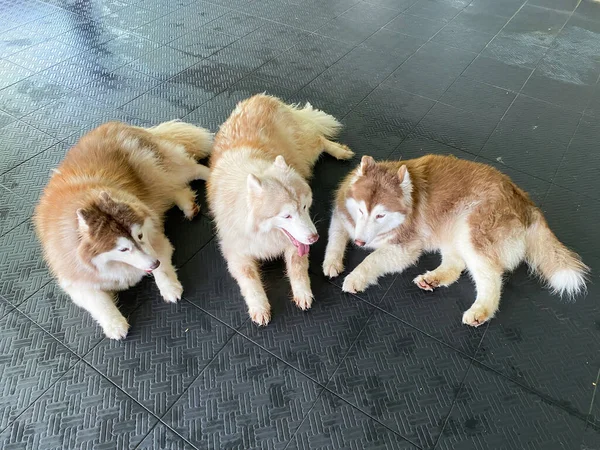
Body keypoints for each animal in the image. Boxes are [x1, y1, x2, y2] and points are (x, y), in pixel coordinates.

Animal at [34, 121, 213, 340]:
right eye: (123, 249)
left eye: (140, 236)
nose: (153, 263)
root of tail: (115, 124)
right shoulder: (76, 280)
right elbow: (98, 302)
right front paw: (114, 324)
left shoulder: (158, 241)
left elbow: (163, 268)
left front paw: (169, 287)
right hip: (155, 185)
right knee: (174, 190)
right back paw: (188, 206)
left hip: (157, 169)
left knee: (194, 171)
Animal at [209, 93, 354, 326]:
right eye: (286, 215)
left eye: (305, 206)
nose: (314, 238)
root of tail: (260, 97)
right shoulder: (236, 254)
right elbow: (250, 281)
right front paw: (259, 307)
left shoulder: (295, 244)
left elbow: (297, 268)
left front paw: (302, 292)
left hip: (304, 154)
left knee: (318, 139)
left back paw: (340, 151)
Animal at [326, 153, 588, 326]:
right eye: (361, 210)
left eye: (380, 215)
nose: (360, 243)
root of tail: (525, 200)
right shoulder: (341, 216)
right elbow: (334, 237)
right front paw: (331, 262)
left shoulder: (404, 247)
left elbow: (371, 260)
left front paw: (355, 277)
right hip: (451, 231)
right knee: (456, 265)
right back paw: (432, 279)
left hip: (471, 231)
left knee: (491, 277)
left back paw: (481, 310)